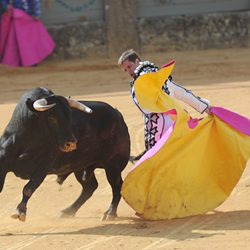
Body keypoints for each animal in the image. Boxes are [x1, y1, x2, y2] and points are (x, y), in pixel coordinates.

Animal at [0, 87, 132, 221]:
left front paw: (20, 211)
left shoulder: (43, 167)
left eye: (70, 117)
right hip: (80, 167)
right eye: (52, 118)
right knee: (90, 187)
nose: (71, 143)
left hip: (113, 165)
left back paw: (109, 213)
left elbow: (29, 188)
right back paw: (68, 211)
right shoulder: (3, 164)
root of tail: (117, 115)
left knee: (117, 186)